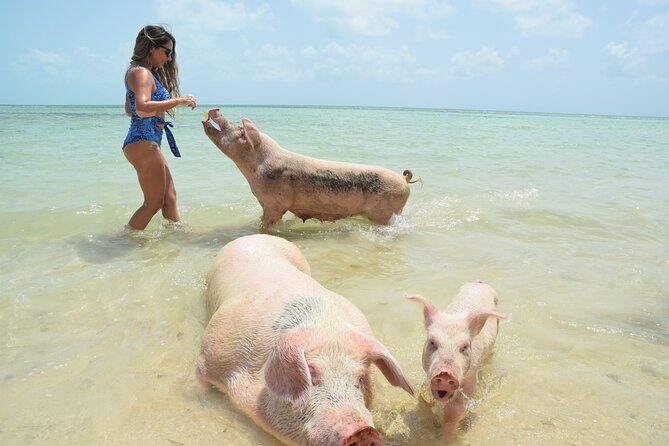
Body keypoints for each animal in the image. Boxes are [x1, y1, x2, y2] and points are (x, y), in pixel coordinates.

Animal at [197, 234, 414, 446]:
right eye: (311, 375)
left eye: (359, 379)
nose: (363, 431)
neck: (325, 328)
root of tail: (257, 235)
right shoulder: (210, 353)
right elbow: (199, 382)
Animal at [202, 109, 417, 228]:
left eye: (239, 129)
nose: (216, 108)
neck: (254, 170)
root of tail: (404, 179)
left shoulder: (275, 204)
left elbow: (268, 224)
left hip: (387, 209)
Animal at [408, 281, 507, 440]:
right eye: (432, 342)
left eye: (465, 346)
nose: (445, 373)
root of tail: (479, 282)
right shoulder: (427, 377)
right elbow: (424, 399)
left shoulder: (471, 378)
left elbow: (454, 411)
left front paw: (445, 438)